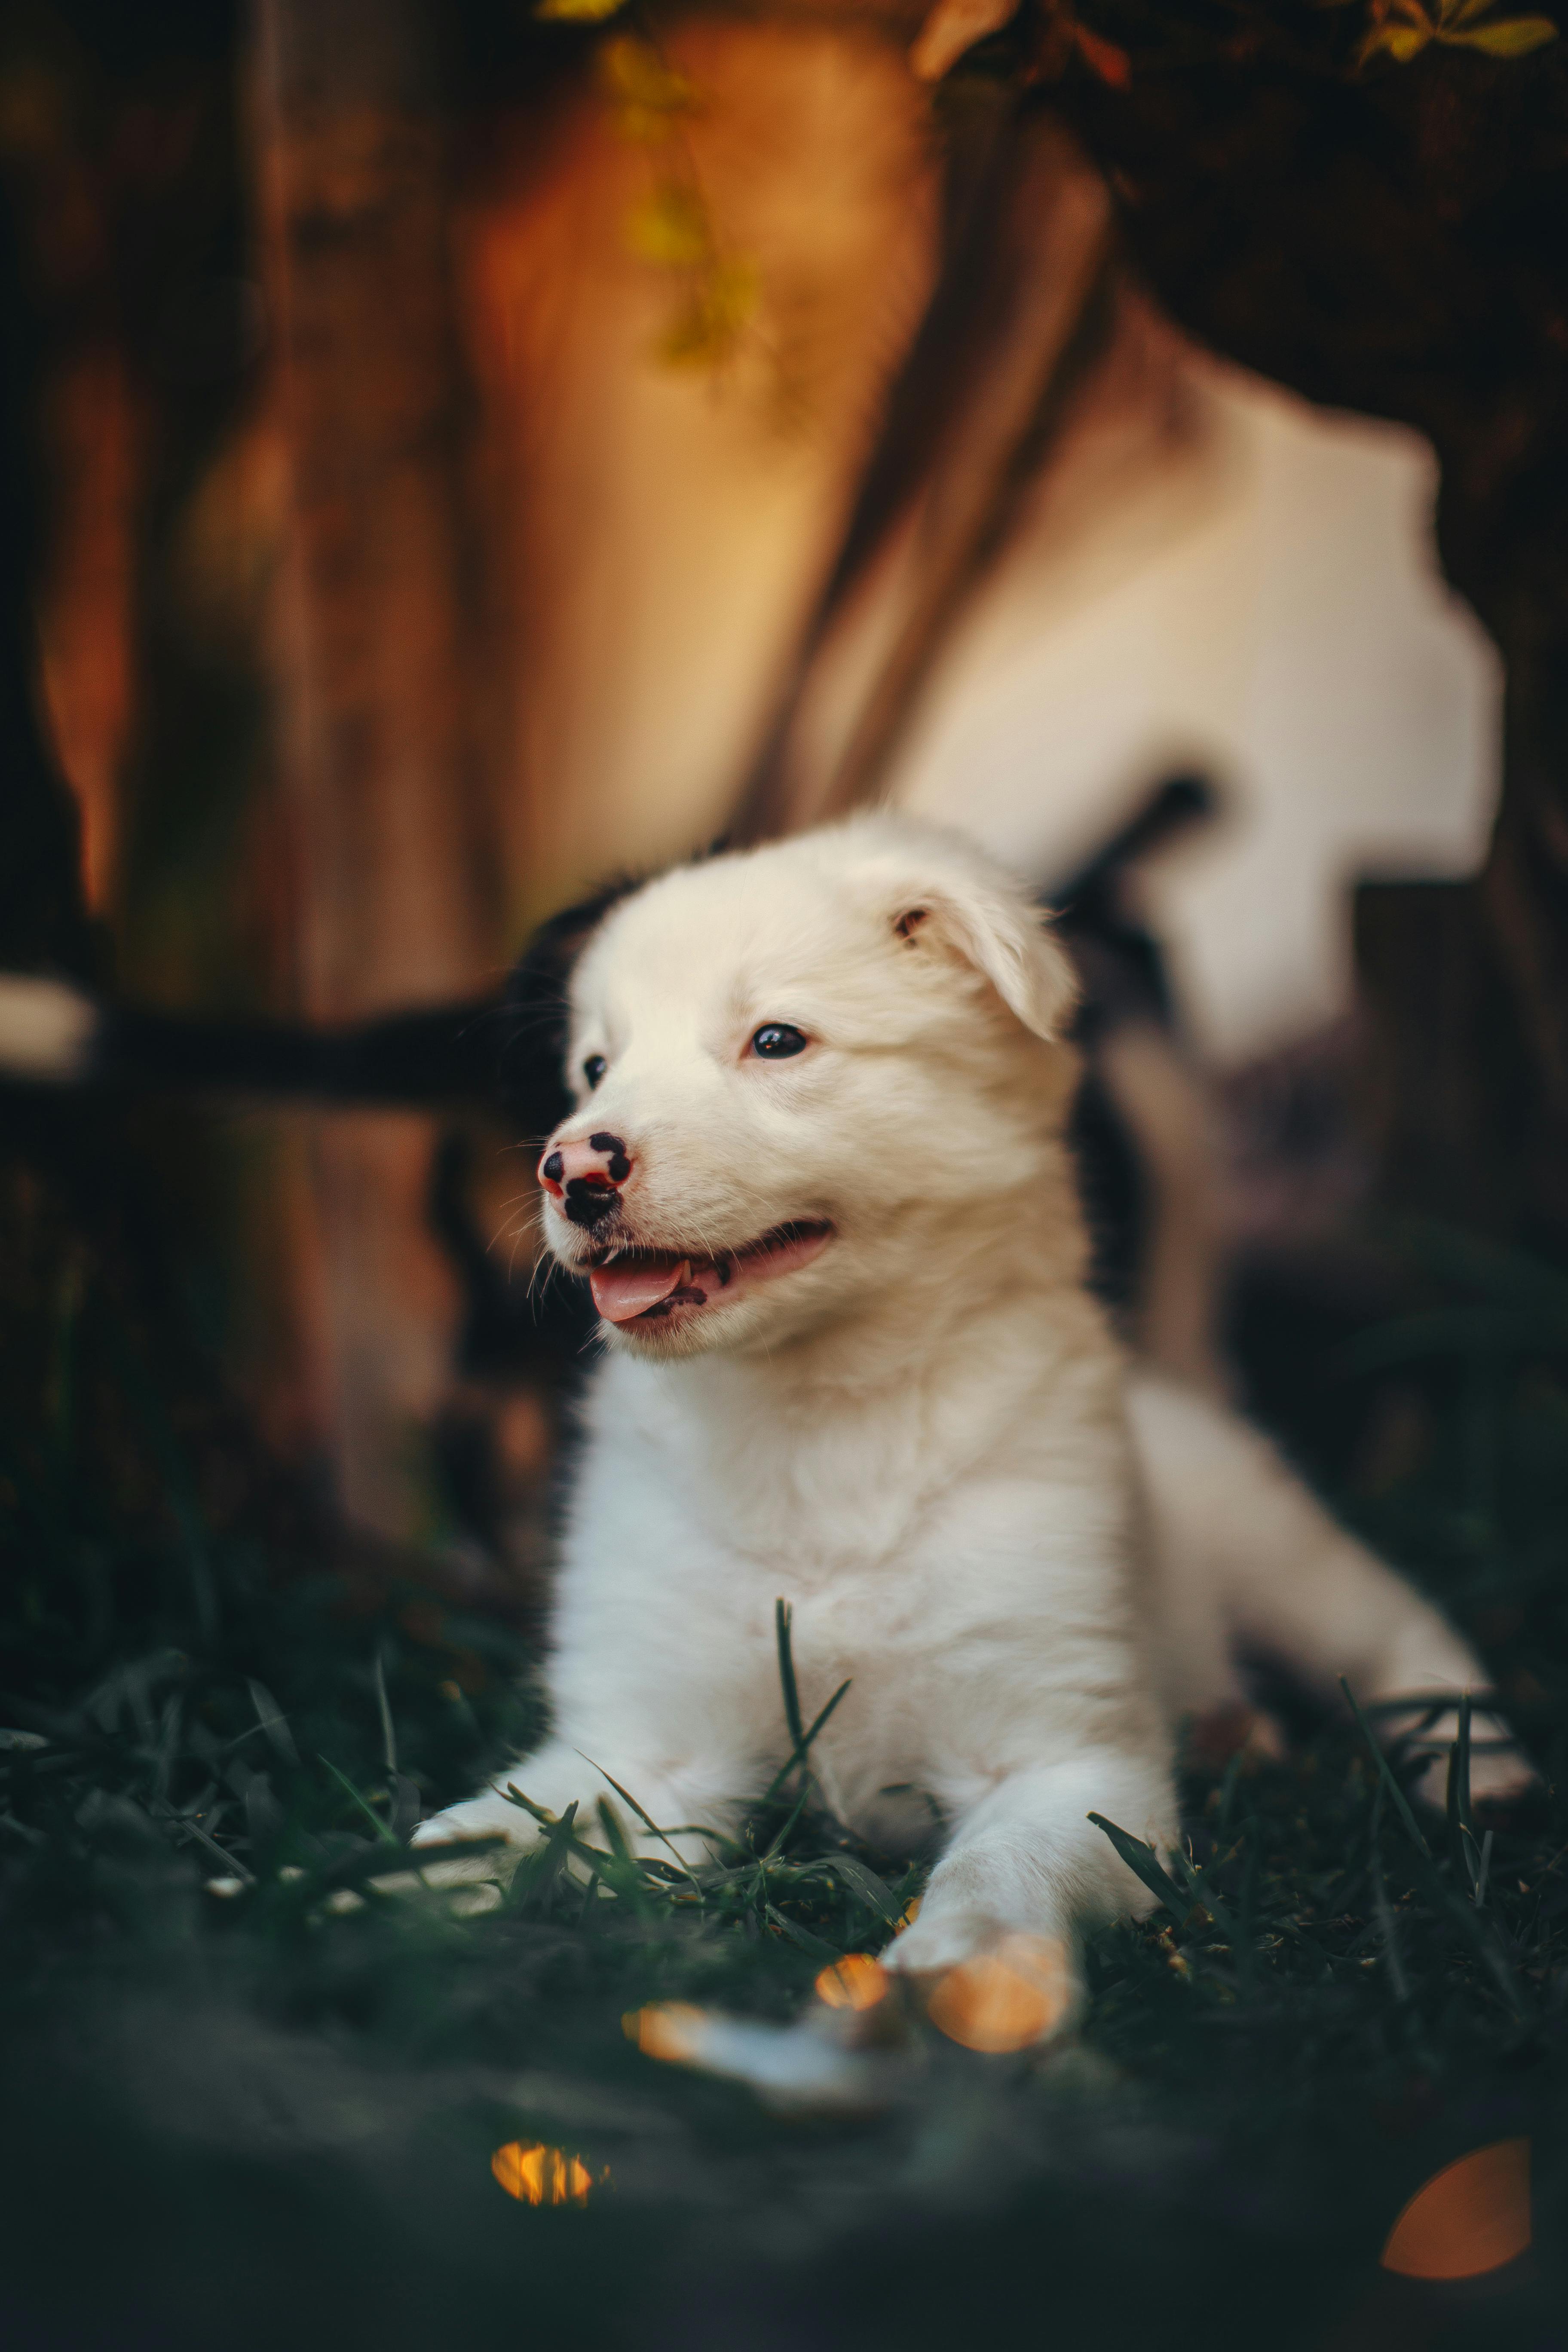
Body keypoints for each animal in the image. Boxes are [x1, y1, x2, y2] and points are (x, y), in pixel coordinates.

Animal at [423, 814, 1523, 2022]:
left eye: (776, 1040)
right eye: (594, 1067)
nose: (570, 1165)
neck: (822, 1426)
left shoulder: (1064, 1757)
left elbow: (1002, 1868)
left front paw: (965, 1974)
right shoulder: (641, 1745)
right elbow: (492, 1827)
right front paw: (360, 1912)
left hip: (1278, 1552)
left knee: (1400, 1633)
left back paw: (1480, 1769)